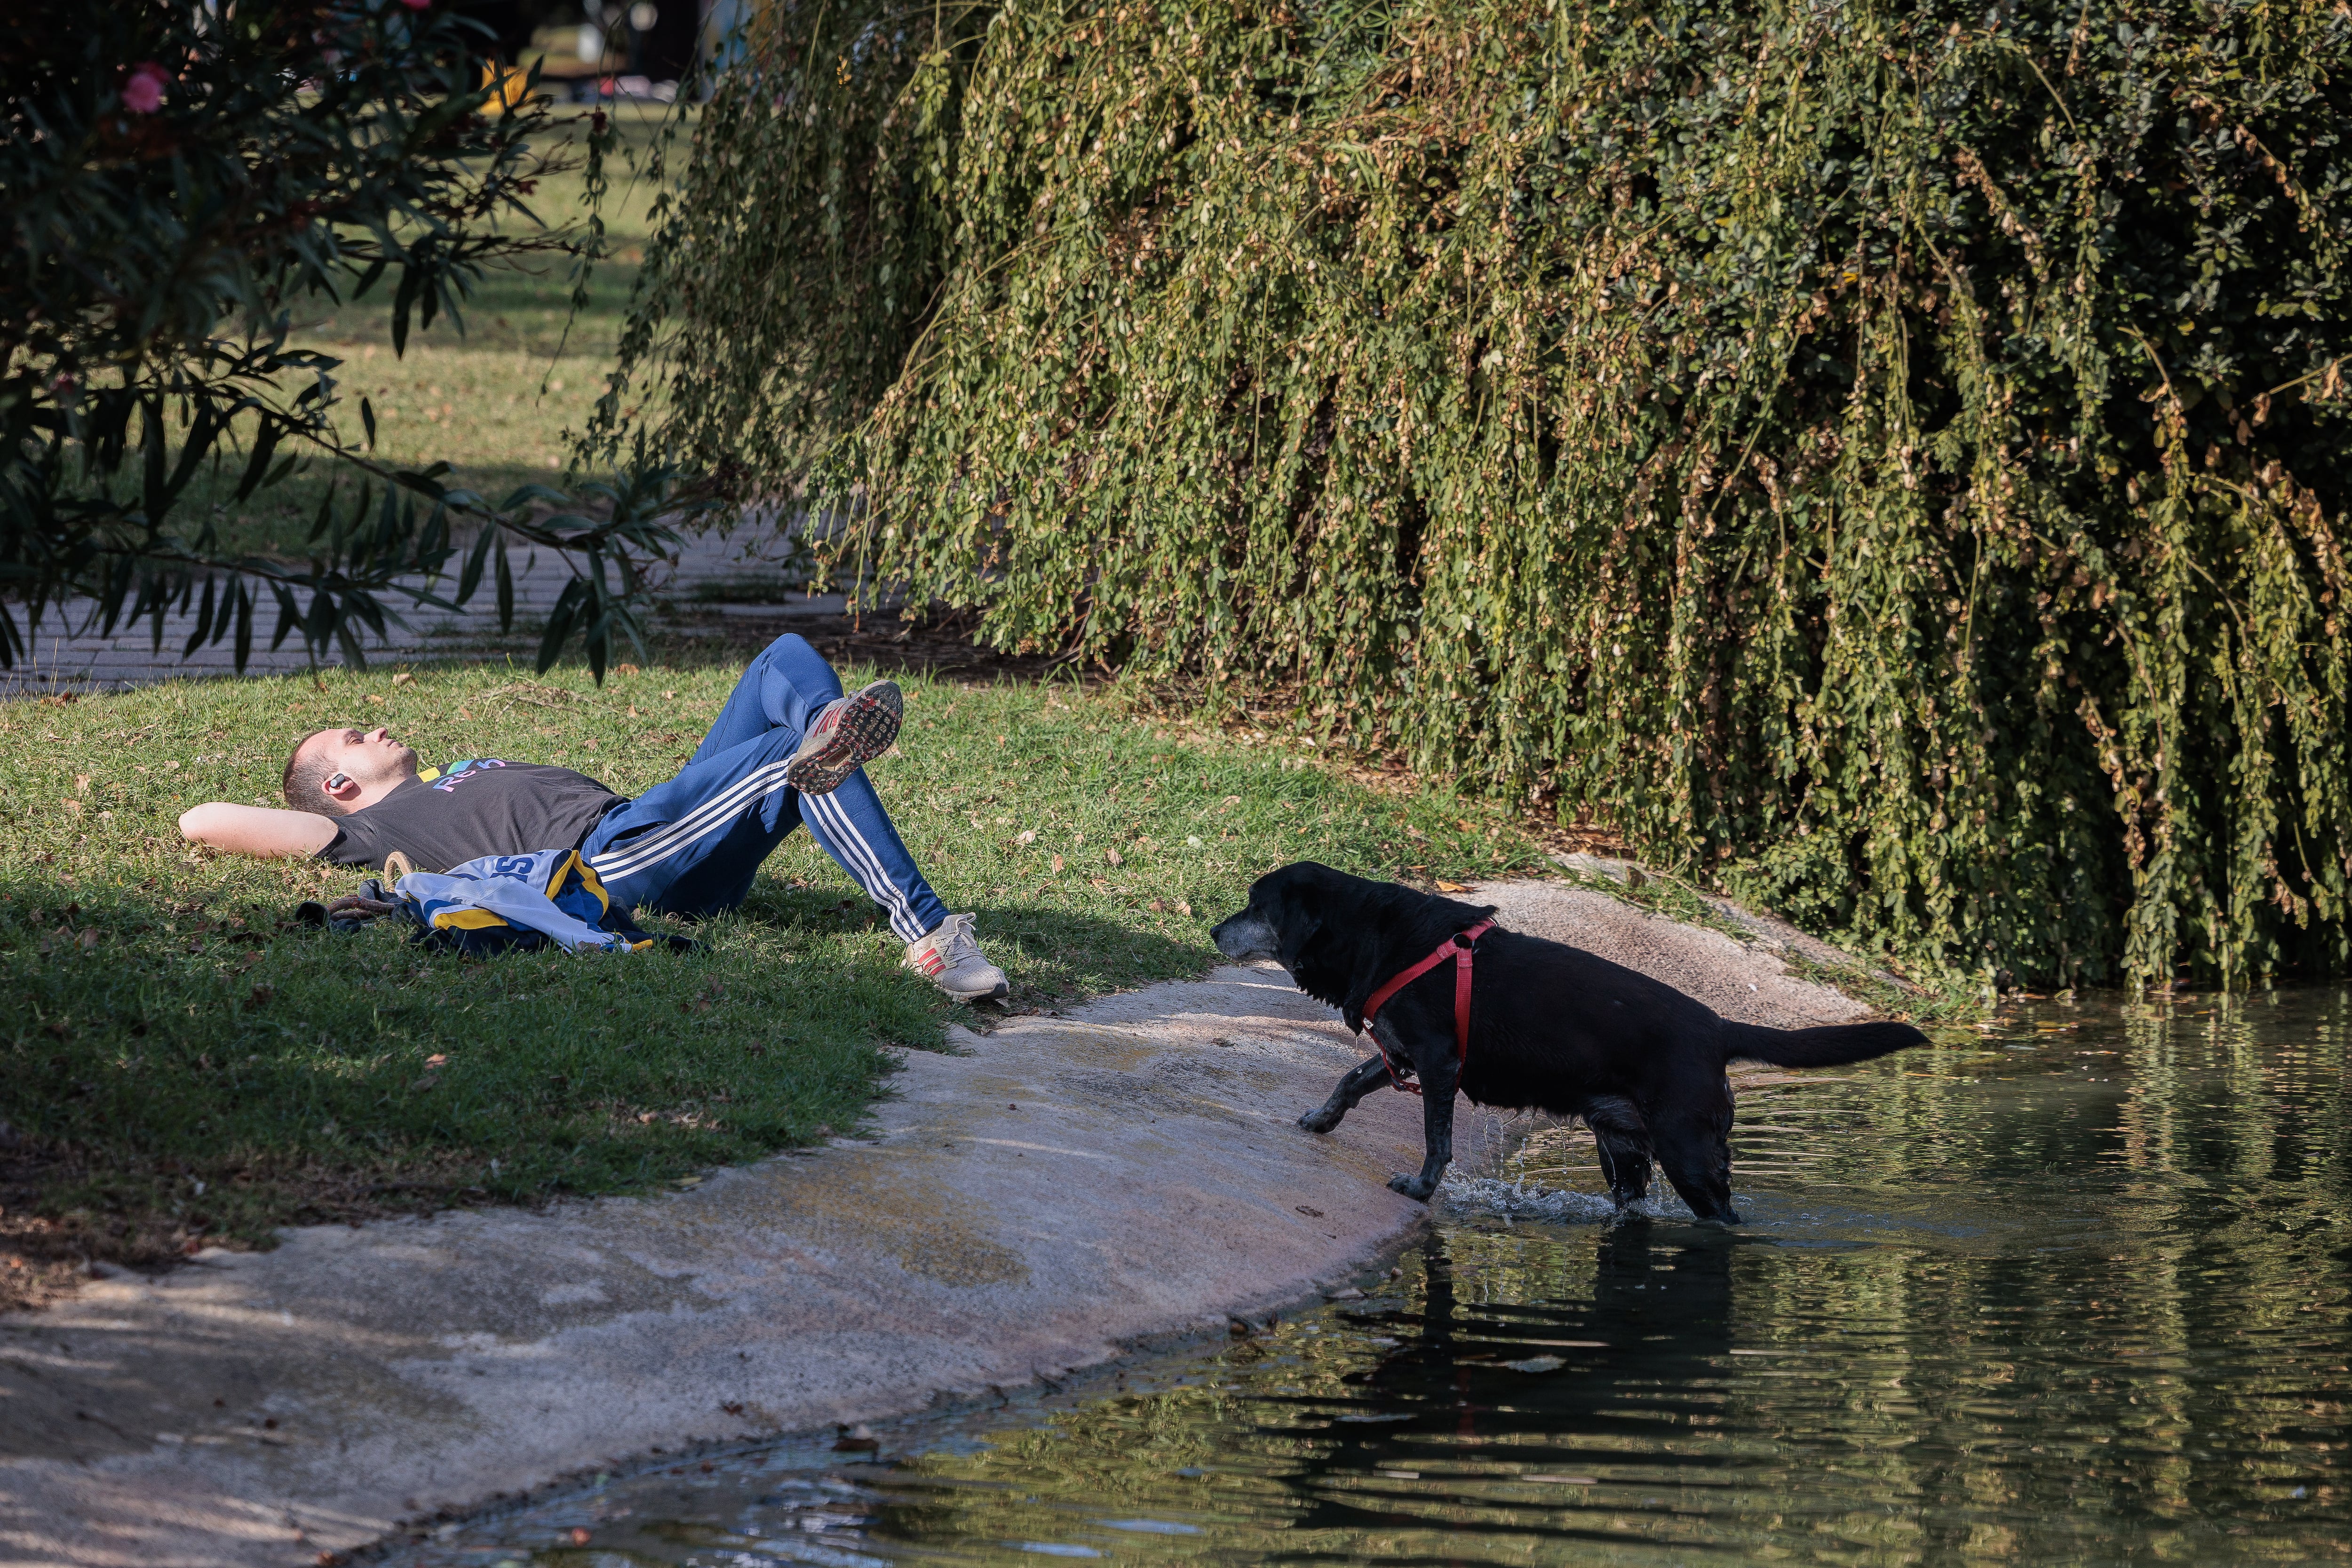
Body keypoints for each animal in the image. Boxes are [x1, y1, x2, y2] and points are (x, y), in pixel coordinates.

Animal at [1214, 865, 1929, 1222]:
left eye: (1255, 904)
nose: (1214, 929)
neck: (1377, 936)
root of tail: (1721, 1028)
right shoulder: (1404, 1053)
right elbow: (1353, 1078)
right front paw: (1321, 1118)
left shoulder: (1439, 1062)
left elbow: (1437, 1140)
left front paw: (1419, 1188)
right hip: (1623, 1148)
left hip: (1688, 1154)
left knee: (1722, 1218)